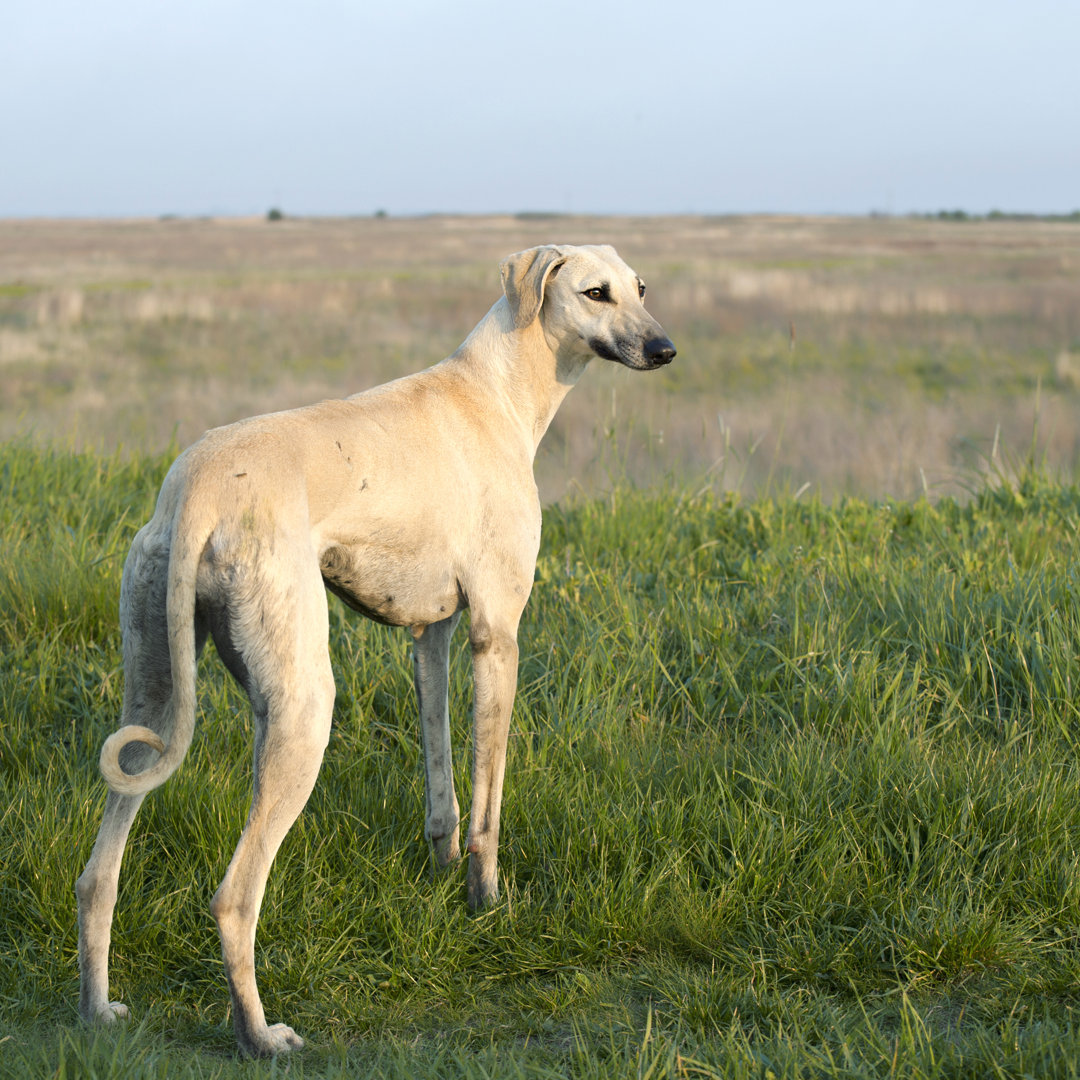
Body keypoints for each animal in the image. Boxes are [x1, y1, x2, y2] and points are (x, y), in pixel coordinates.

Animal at [78, 243, 673, 1054]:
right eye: (595, 293)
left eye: (641, 288)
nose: (665, 349)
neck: (496, 390)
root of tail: (195, 485)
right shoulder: (498, 637)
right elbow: (487, 808)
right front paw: (487, 905)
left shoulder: (433, 636)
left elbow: (443, 787)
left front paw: (442, 880)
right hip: (305, 711)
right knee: (234, 897)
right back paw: (259, 1036)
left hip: (158, 703)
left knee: (97, 875)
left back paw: (97, 1010)